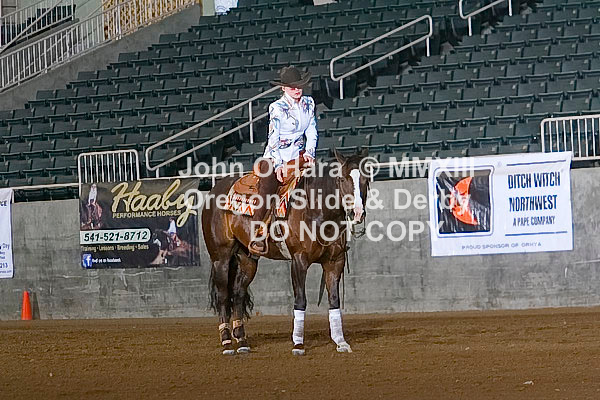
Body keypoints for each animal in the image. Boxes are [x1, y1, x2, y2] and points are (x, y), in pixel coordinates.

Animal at [201, 149, 370, 355]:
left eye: (366, 179)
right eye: (343, 179)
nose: (357, 213)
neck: (315, 209)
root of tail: (215, 190)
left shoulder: (334, 262)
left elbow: (334, 300)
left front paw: (341, 342)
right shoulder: (299, 261)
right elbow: (300, 300)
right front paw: (298, 344)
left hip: (247, 260)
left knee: (238, 293)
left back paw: (242, 342)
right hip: (221, 258)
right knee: (223, 296)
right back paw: (226, 343)